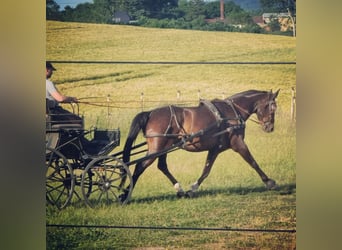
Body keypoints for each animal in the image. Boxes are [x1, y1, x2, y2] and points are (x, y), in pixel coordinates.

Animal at [123, 89, 280, 200]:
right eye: (272, 107)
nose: (270, 128)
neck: (232, 112)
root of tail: (150, 113)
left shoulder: (215, 149)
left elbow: (206, 170)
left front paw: (192, 189)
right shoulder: (238, 143)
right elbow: (253, 162)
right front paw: (269, 182)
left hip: (163, 148)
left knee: (161, 166)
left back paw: (179, 189)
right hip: (157, 148)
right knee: (140, 166)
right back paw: (125, 194)